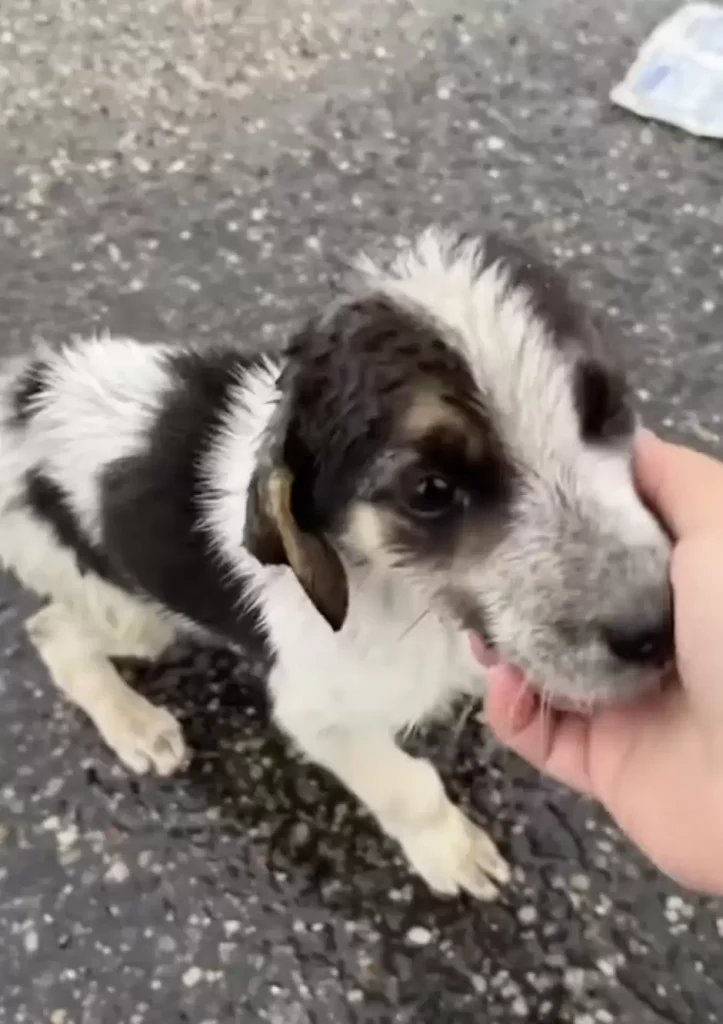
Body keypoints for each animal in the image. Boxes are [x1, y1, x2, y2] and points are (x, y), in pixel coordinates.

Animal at [1, 230, 671, 897]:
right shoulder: (316, 712)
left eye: (609, 409)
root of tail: (26, 397)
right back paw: (136, 724)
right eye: (430, 491)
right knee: (52, 631)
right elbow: (410, 786)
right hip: (132, 614)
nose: (661, 631)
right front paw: (452, 852)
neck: (406, 594)